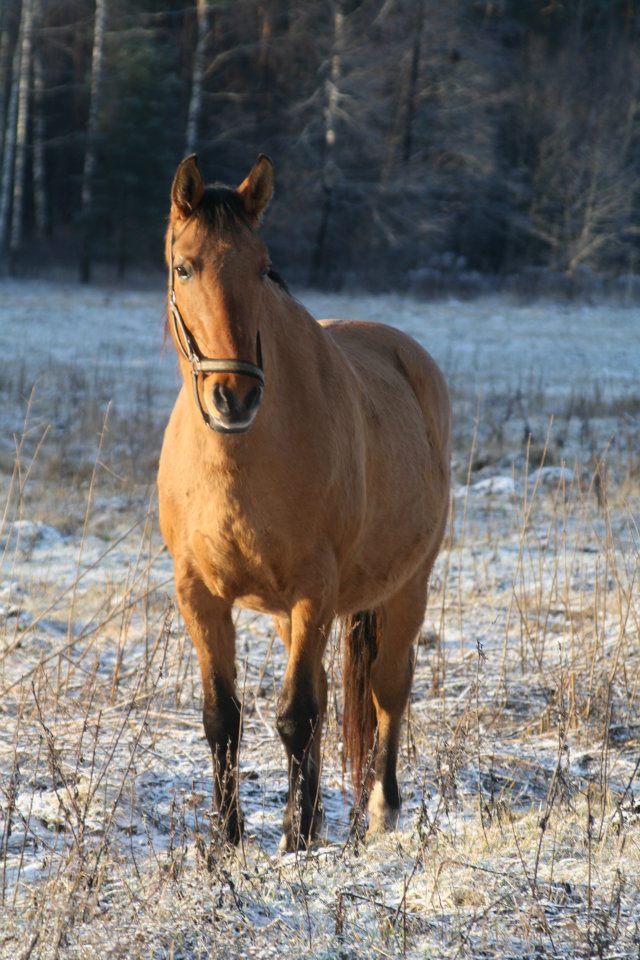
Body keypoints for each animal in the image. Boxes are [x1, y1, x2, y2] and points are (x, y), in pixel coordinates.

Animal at [158, 154, 452, 852]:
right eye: (185, 266)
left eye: (263, 268)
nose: (235, 395)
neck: (242, 458)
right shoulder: (199, 595)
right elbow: (222, 717)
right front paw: (228, 840)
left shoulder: (315, 590)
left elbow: (296, 715)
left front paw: (295, 842)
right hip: (290, 616)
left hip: (407, 588)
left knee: (387, 691)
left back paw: (381, 809)